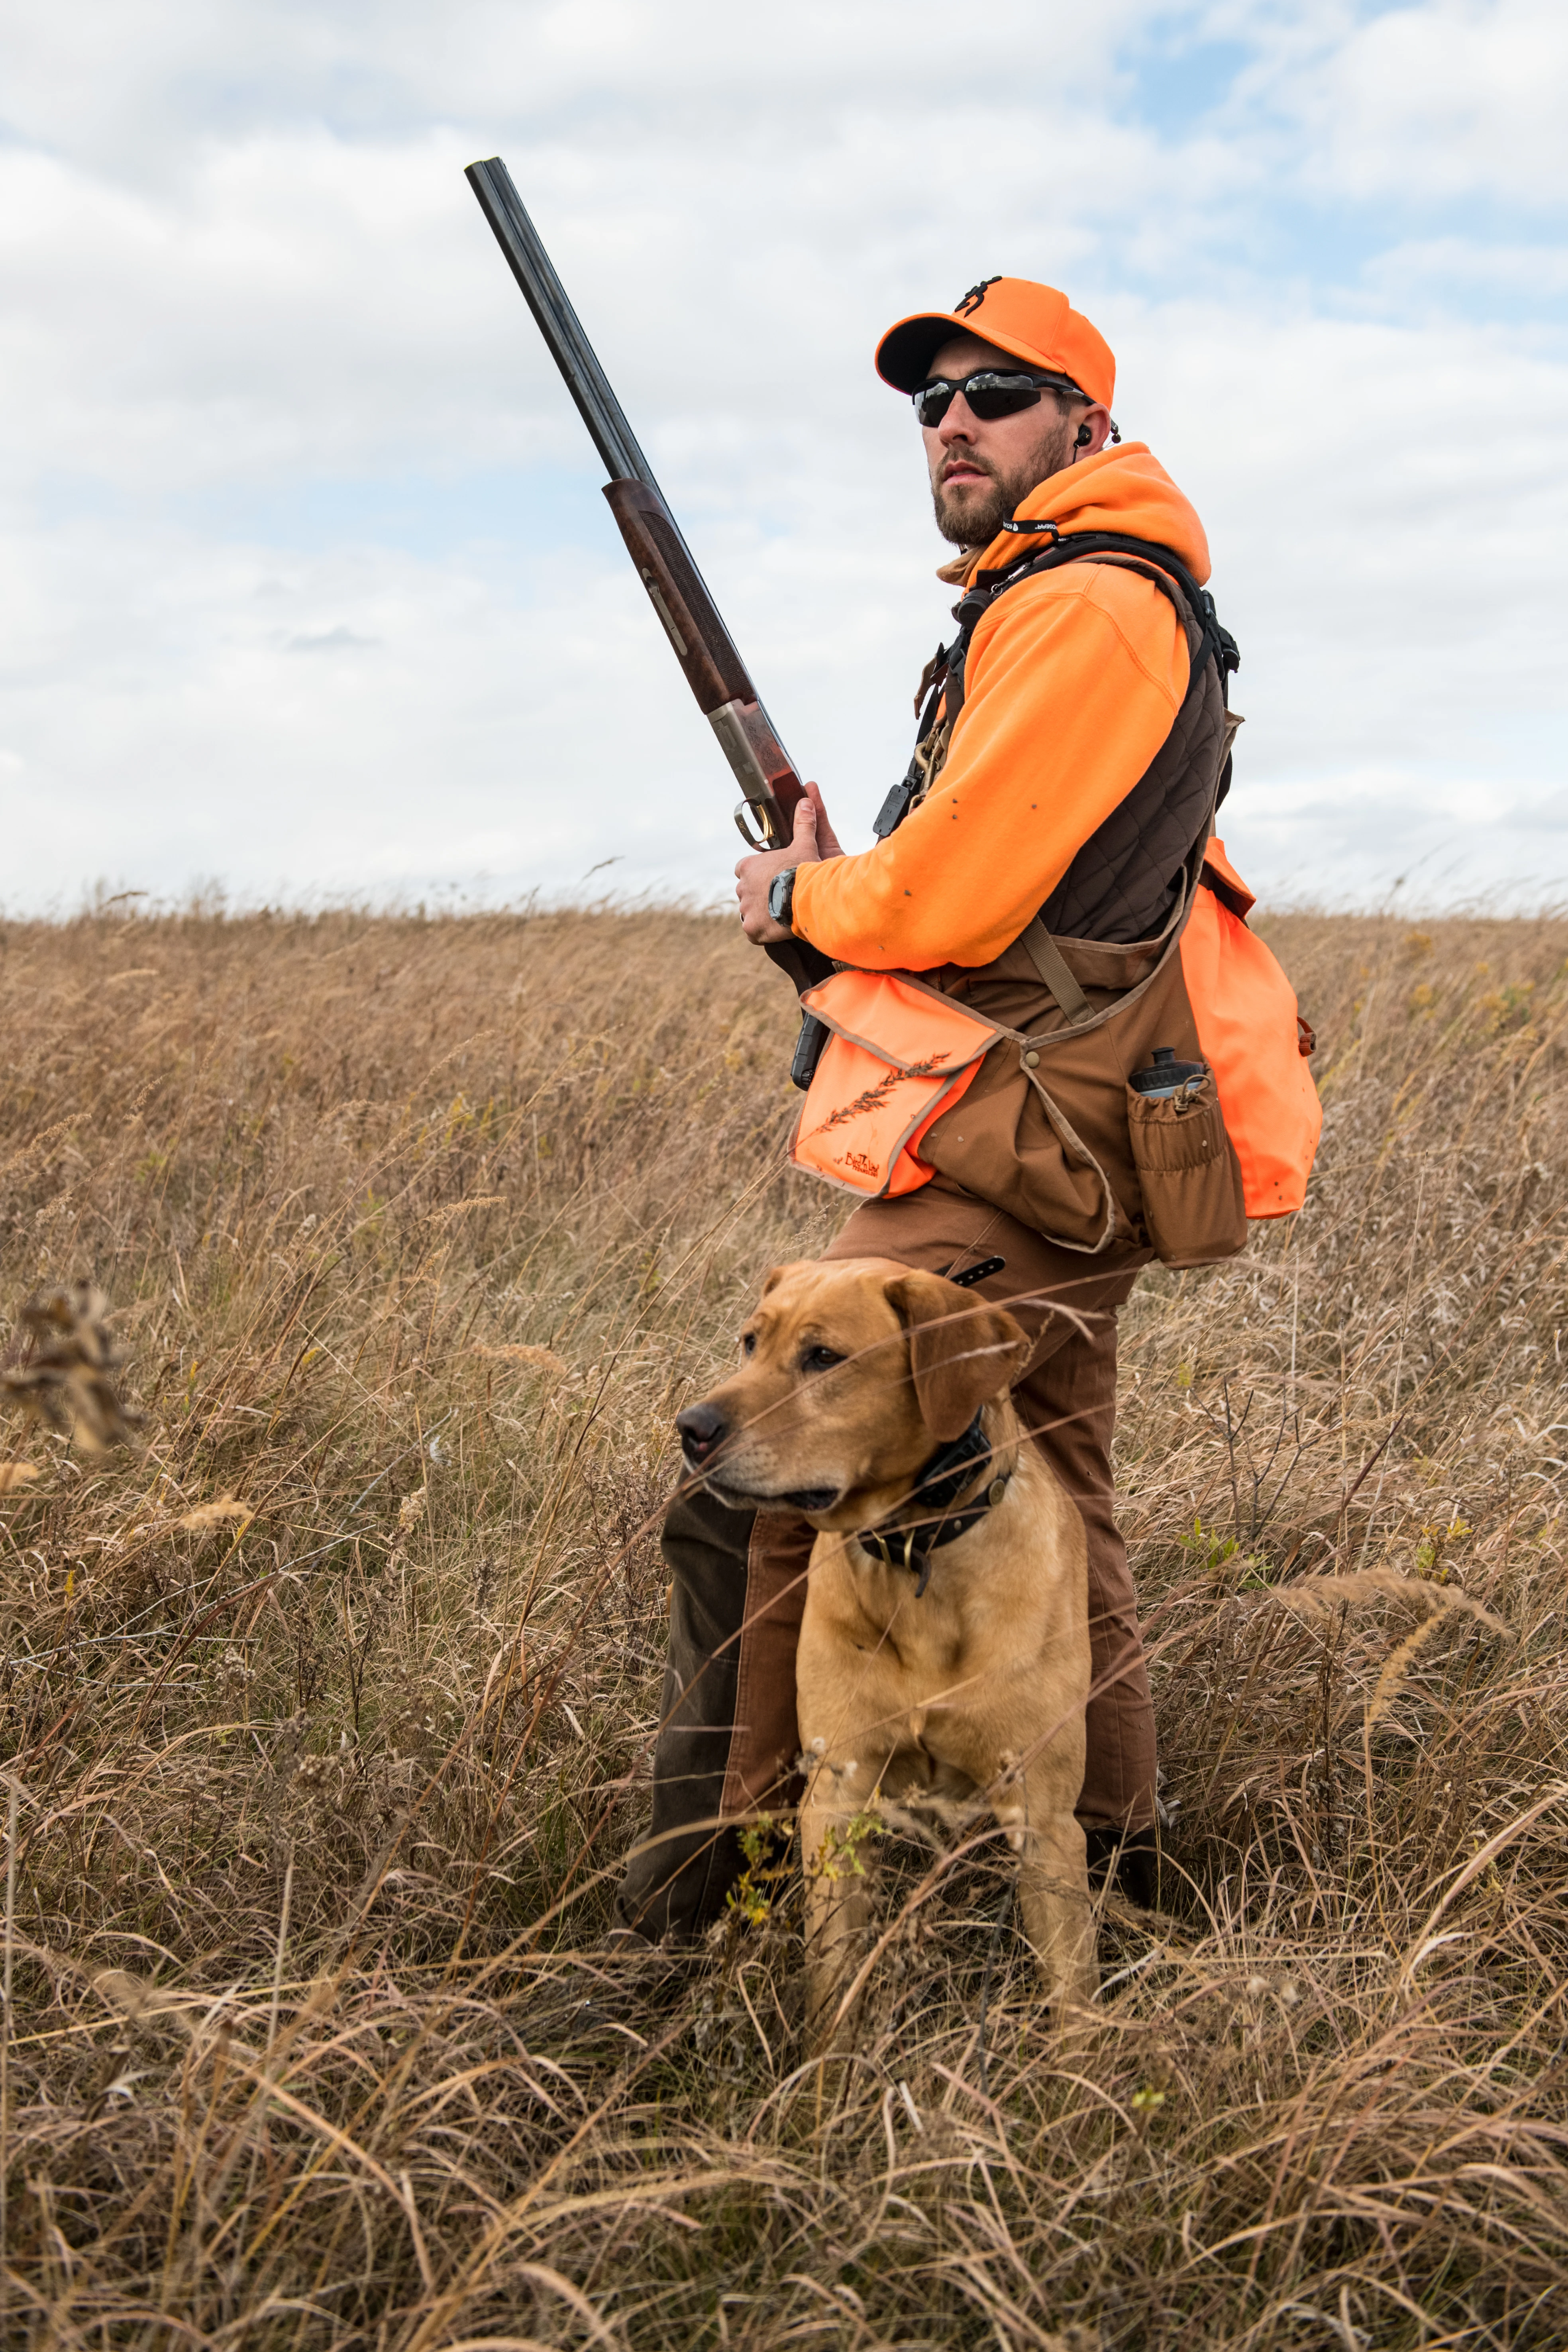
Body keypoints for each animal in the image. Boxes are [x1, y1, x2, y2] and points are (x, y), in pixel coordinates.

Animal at [677, 1260, 1105, 2032]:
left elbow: (1073, 2002)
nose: (691, 1429)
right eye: (750, 1342)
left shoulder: (1046, 1823)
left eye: (823, 1357)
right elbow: (833, 1988)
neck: (916, 1555)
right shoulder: (836, 1800)